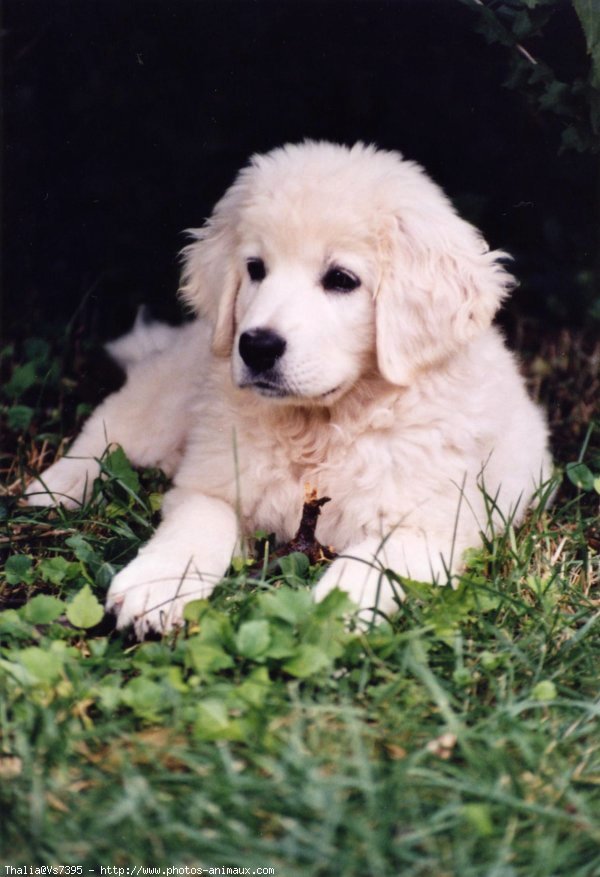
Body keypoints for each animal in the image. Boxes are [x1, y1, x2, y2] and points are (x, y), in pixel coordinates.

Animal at [28, 142, 552, 636]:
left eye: (341, 279)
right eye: (256, 268)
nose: (256, 346)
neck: (322, 427)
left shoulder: (432, 527)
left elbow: (371, 565)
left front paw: (333, 614)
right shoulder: (213, 482)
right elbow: (198, 526)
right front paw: (157, 588)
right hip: (173, 389)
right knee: (112, 428)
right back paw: (53, 490)